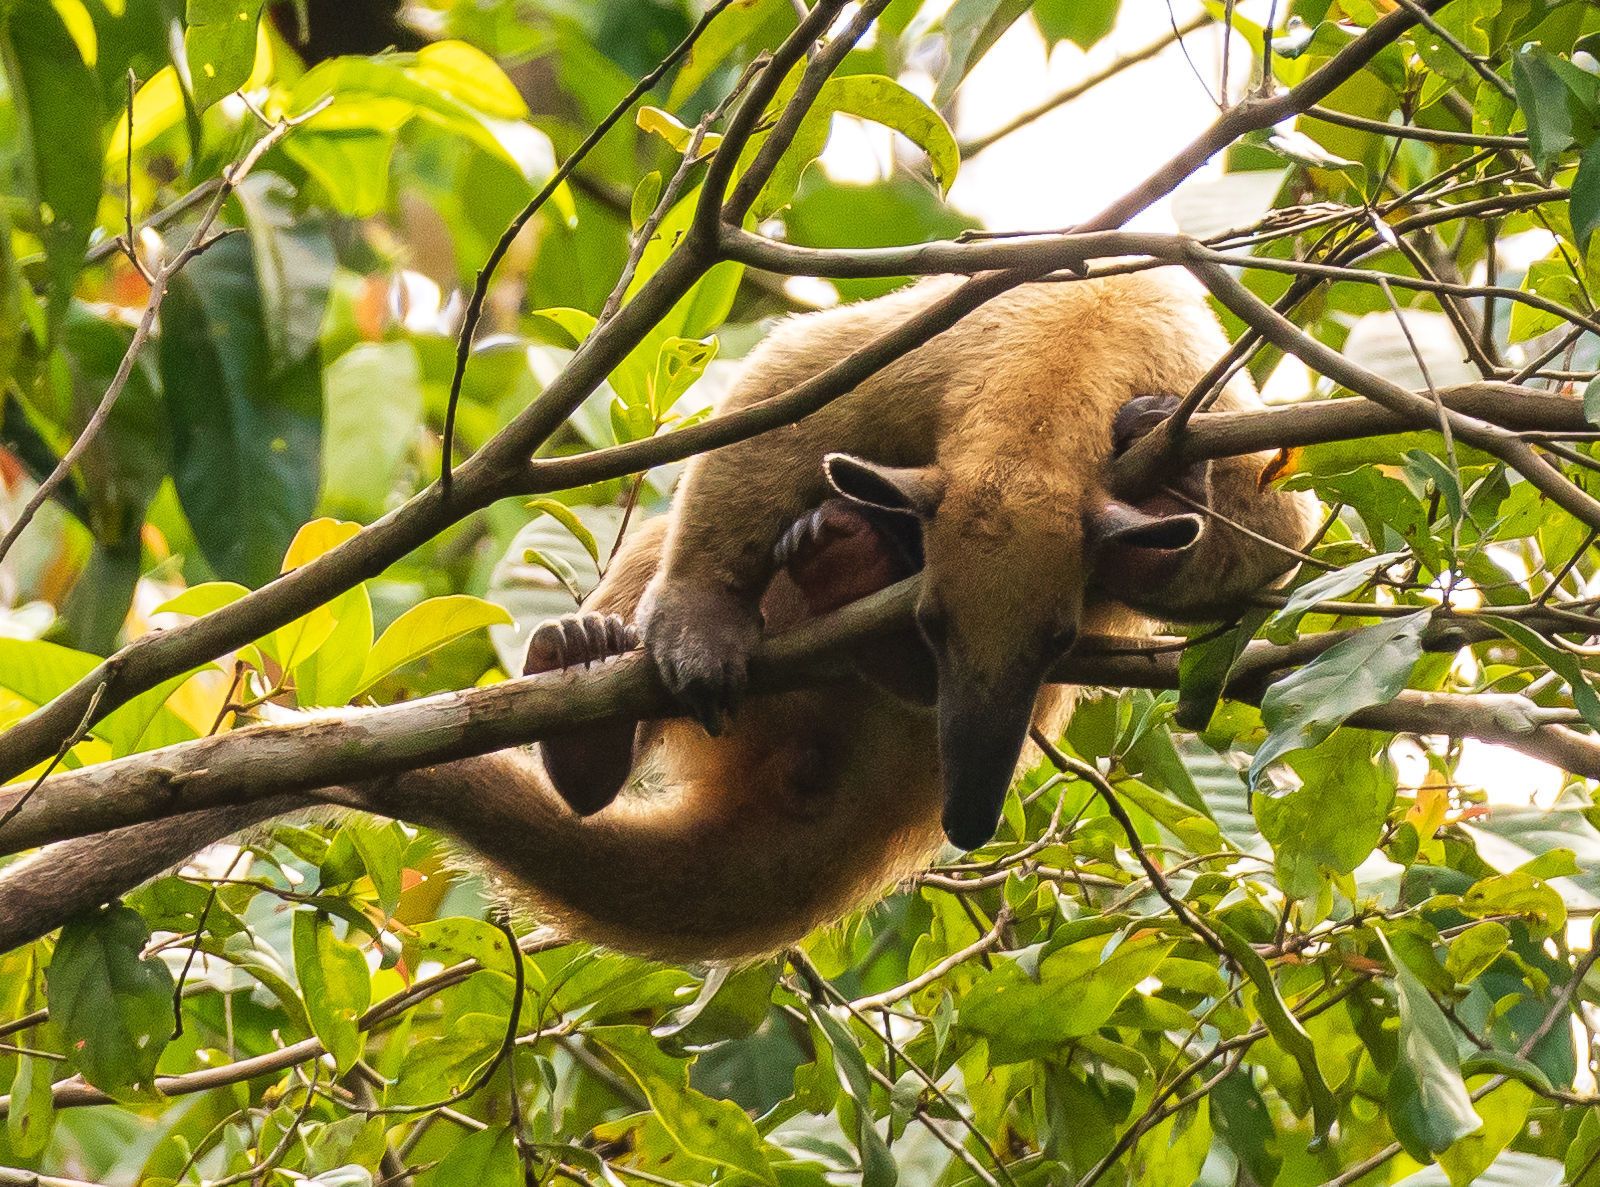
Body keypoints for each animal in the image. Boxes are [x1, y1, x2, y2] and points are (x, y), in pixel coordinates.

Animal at [0, 270, 1317, 963]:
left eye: (1048, 639)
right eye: (944, 625)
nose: (973, 814)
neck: (1063, 363)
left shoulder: (1198, 396)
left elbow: (1270, 544)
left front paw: (1184, 497)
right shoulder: (928, 347)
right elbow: (781, 395)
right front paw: (694, 629)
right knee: (670, 544)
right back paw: (625, 687)